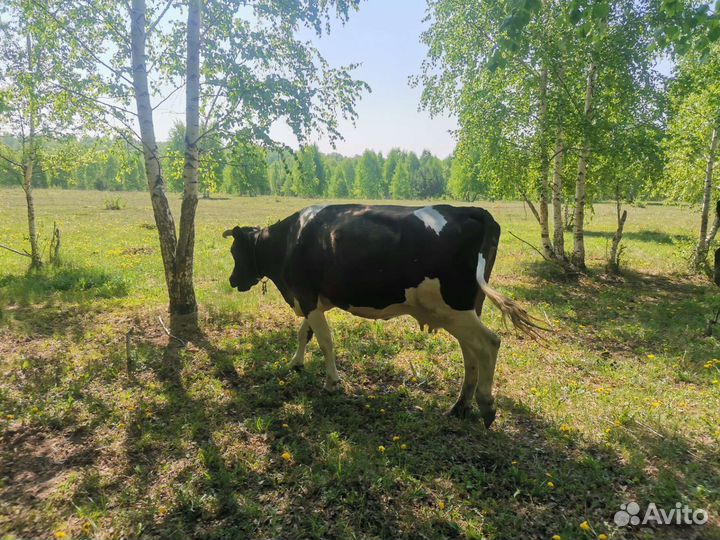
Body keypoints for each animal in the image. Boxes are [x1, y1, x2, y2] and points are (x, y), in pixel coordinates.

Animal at [223, 204, 543, 428]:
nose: (232, 280)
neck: (289, 240)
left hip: (454, 308)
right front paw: (296, 363)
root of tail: (471, 211)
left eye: (235, 252)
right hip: (466, 309)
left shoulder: (306, 295)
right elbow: (305, 333)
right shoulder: (315, 299)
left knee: (488, 343)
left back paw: (486, 405)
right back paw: (460, 406)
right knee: (471, 351)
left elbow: (325, 341)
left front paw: (332, 382)